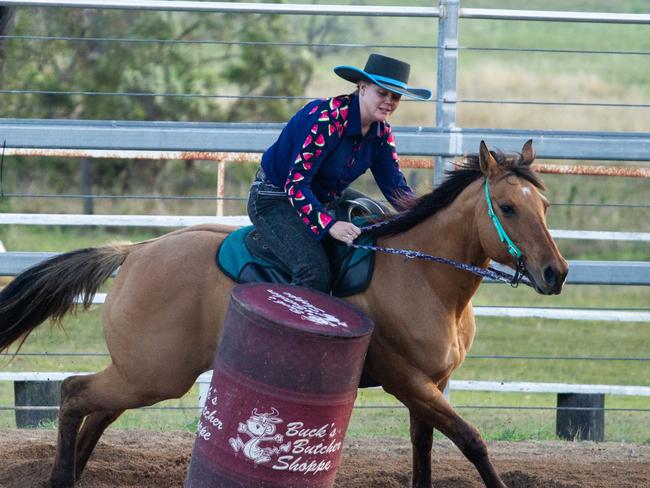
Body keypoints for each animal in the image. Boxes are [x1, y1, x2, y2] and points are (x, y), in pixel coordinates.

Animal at [0, 139, 568, 486]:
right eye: (508, 208)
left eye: (544, 206)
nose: (555, 273)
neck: (422, 275)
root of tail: (135, 251)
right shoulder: (407, 380)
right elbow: (472, 441)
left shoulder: (433, 384)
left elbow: (425, 452)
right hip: (153, 374)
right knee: (73, 393)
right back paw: (60, 476)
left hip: (141, 373)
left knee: (96, 410)